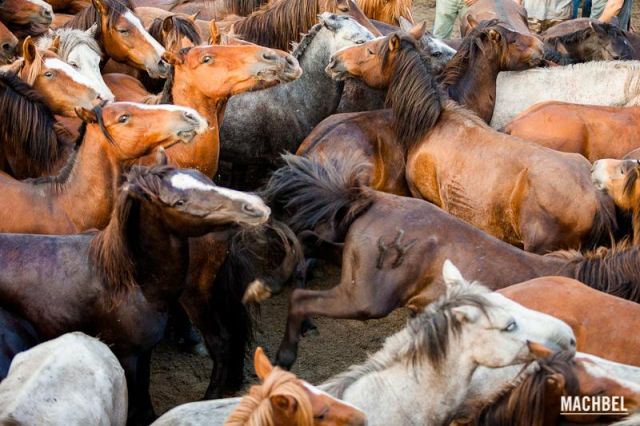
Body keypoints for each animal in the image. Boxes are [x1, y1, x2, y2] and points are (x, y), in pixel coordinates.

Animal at [0, 158, 271, 424]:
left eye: (205, 180)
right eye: (179, 202)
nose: (256, 205)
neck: (130, 284)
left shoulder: (145, 351)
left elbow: (144, 390)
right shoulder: (128, 356)